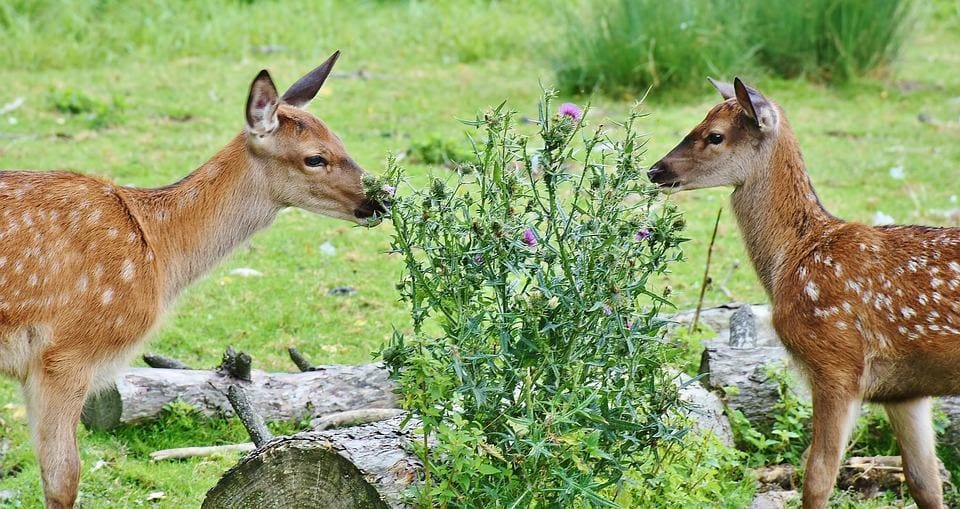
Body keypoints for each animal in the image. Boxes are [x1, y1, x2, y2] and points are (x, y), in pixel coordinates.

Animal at [2, 49, 390, 506]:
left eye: (341, 142)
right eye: (315, 157)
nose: (382, 199)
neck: (159, 251)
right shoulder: (67, 351)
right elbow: (63, 477)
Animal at [648, 76, 956, 508]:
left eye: (715, 135)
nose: (655, 170)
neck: (792, 259)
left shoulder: (836, 361)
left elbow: (818, 477)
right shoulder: (904, 390)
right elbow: (924, 481)